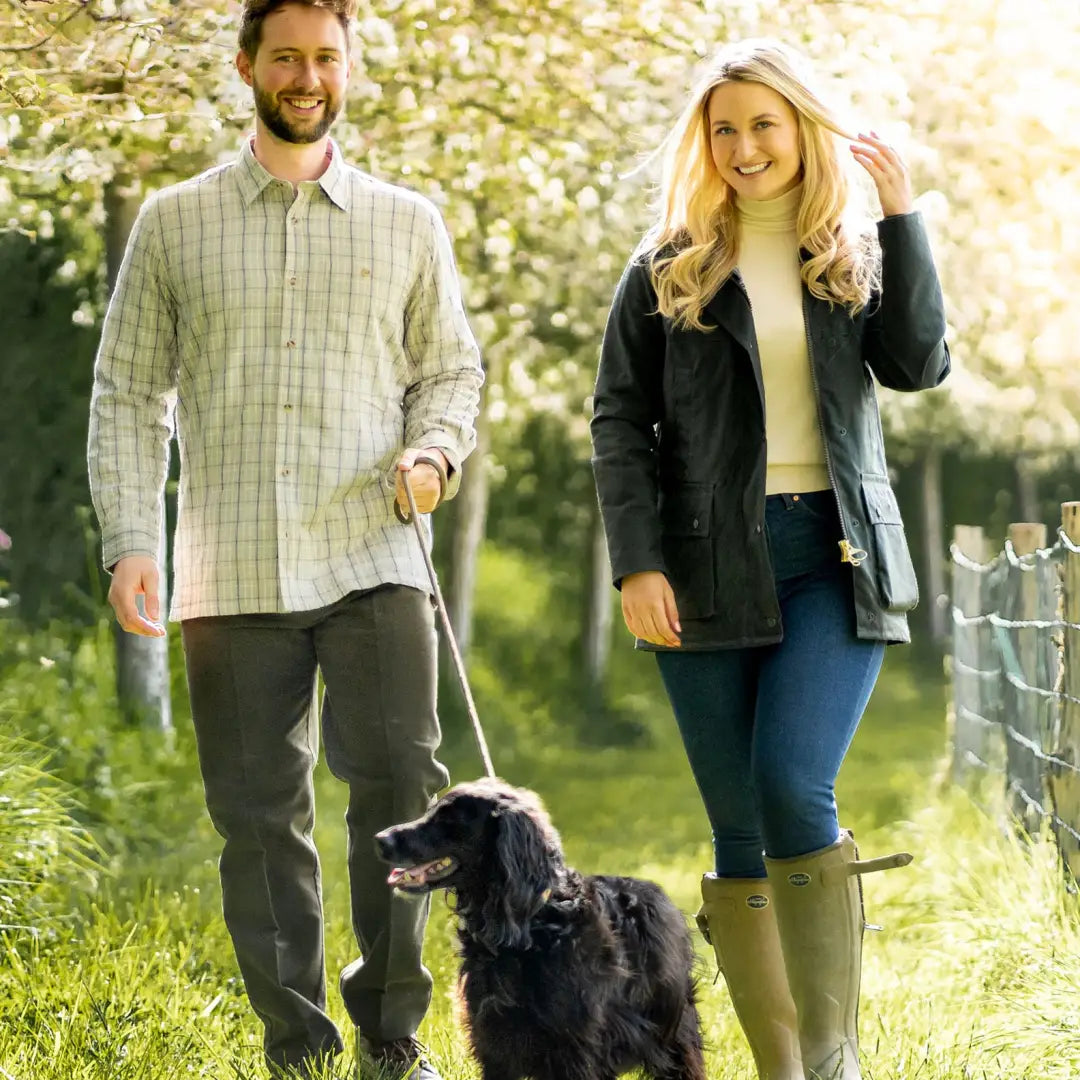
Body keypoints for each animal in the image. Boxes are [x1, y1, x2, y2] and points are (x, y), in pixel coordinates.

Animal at [375, 777, 704, 1080]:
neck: (531, 926)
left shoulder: (574, 1049)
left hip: (673, 1039)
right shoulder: (493, 1041)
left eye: (449, 818)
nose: (380, 838)